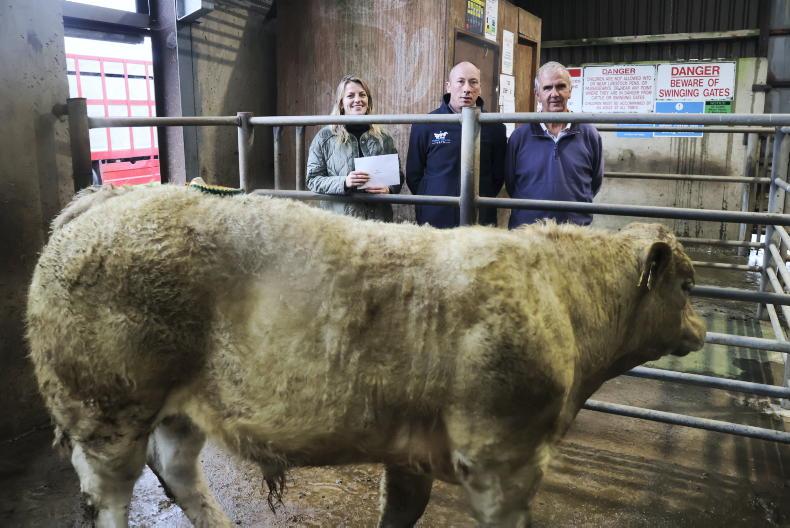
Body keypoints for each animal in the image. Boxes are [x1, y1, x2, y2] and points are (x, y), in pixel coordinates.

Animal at [27, 184, 706, 527]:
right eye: (689, 284)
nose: (701, 328)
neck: (561, 297)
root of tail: (106, 200)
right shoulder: (502, 456)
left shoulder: (413, 452)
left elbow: (402, 511)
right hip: (105, 406)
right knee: (109, 494)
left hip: (180, 406)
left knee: (178, 470)